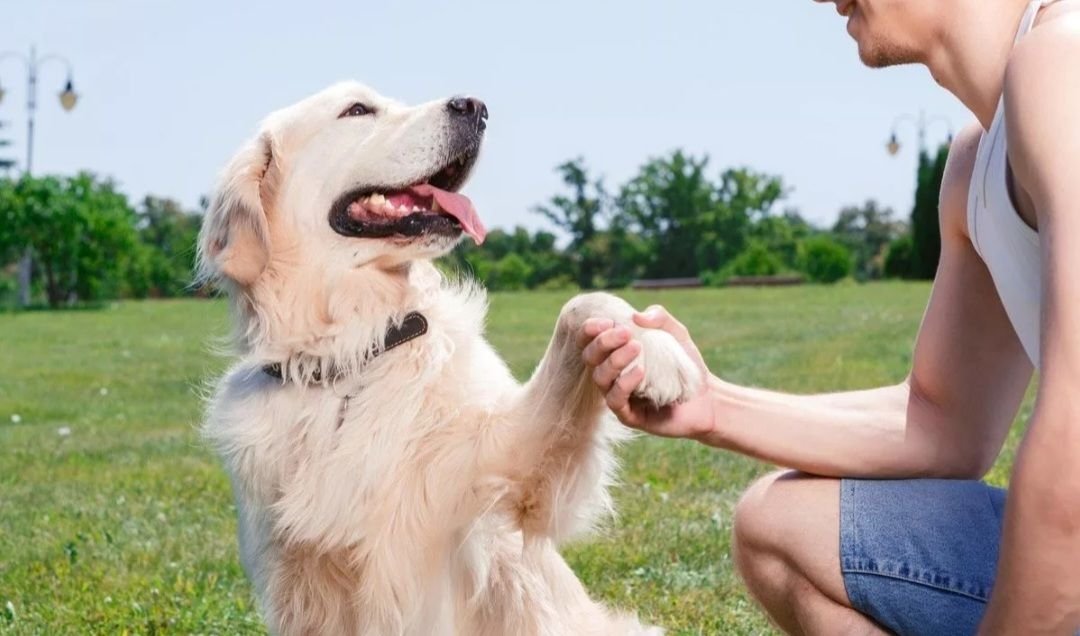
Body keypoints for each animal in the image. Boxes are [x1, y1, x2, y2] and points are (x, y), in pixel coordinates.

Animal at [196, 82, 699, 630]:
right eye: (357, 109)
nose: (475, 107)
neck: (354, 354)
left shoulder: (500, 478)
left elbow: (580, 304)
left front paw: (655, 349)